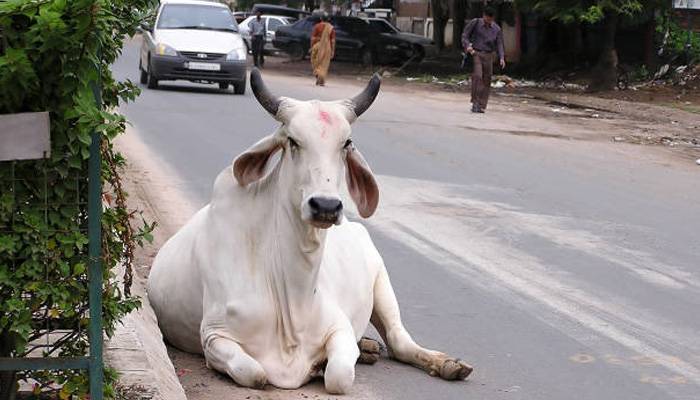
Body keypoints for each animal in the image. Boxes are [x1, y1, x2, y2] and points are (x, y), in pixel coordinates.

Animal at [150, 69, 474, 394]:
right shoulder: (214, 336)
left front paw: (322, 365)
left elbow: (339, 375)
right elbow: (255, 373)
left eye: (346, 143)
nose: (326, 206)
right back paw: (370, 348)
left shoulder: (340, 327)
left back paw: (447, 364)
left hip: (381, 280)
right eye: (293, 141)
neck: (293, 295)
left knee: (398, 342)